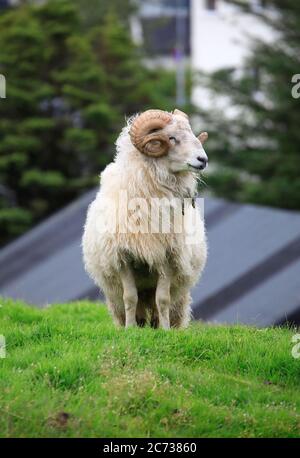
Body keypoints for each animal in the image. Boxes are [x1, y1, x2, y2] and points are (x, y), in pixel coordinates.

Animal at [82, 107, 209, 330]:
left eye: (192, 134)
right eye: (171, 138)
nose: (203, 160)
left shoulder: (168, 257)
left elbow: (163, 299)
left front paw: (165, 330)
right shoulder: (123, 257)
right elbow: (130, 297)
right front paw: (130, 329)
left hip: (179, 294)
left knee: (163, 304)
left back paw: (159, 325)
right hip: (115, 297)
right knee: (134, 303)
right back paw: (138, 324)